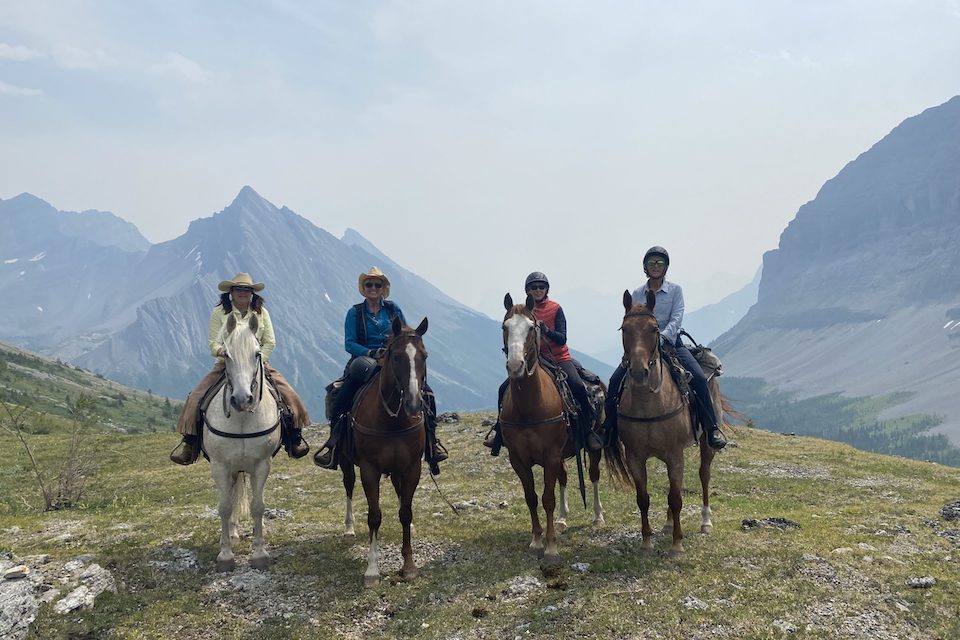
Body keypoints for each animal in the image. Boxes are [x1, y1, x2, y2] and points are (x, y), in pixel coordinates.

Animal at [201, 312, 280, 572]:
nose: (242, 399)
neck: (243, 418)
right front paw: (225, 555)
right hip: (233, 469)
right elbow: (225, 507)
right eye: (226, 354)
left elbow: (258, 506)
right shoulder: (220, 466)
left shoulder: (261, 464)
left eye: (257, 353)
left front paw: (260, 553)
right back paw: (233, 534)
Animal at [338, 314, 428, 584]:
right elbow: (374, 515)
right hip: (346, 462)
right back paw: (349, 528)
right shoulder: (370, 470)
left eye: (425, 356)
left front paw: (409, 565)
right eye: (396, 356)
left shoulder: (411, 467)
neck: (392, 420)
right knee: (348, 485)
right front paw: (372, 569)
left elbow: (405, 512)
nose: (413, 404)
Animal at [498, 292, 604, 568]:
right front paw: (536, 542)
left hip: (594, 447)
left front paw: (551, 548)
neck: (529, 407)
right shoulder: (519, 459)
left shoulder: (551, 455)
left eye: (532, 327)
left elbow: (548, 498)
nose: (515, 366)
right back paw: (563, 520)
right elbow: (532, 497)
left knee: (594, 475)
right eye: (505, 327)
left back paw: (598, 516)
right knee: (564, 478)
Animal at [608, 290, 720, 556]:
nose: (639, 372)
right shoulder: (636, 457)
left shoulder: (675, 454)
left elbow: (676, 498)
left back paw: (705, 522)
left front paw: (677, 544)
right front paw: (646, 542)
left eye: (654, 329)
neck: (649, 404)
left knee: (704, 475)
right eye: (624, 329)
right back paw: (669, 523)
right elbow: (644, 498)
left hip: (705, 443)